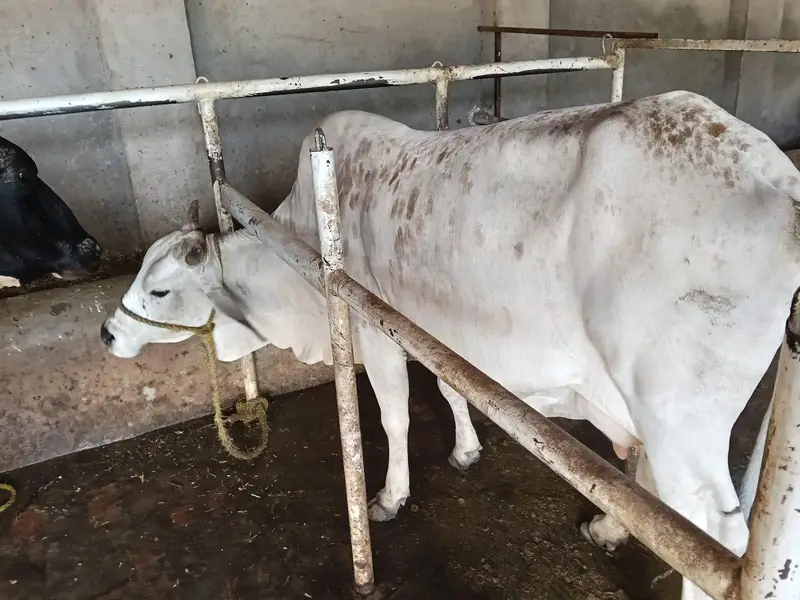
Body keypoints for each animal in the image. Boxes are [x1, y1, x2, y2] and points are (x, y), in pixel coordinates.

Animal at [100, 90, 800, 600]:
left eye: (160, 289)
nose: (107, 332)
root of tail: (777, 177)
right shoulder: (434, 328)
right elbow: (447, 385)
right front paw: (465, 449)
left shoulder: (372, 332)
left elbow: (394, 416)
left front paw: (389, 496)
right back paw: (607, 525)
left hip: (678, 416)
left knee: (714, 535)